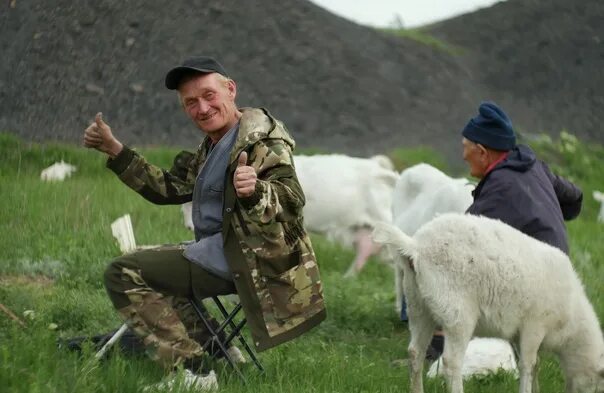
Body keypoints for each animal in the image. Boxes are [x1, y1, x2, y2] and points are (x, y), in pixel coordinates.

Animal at [372, 214, 604, 392]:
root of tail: (416, 247)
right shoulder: (535, 324)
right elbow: (528, 364)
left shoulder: (519, 332)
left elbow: (535, 365)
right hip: (457, 312)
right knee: (451, 361)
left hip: (418, 305)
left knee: (415, 353)